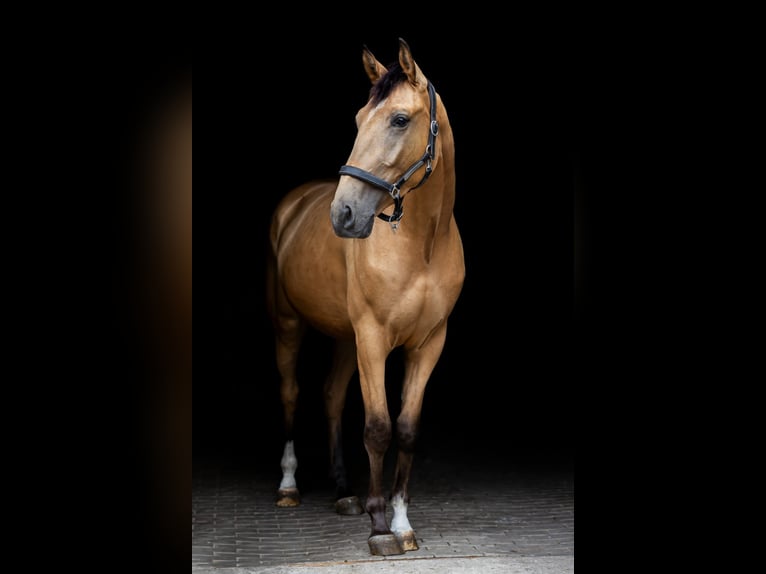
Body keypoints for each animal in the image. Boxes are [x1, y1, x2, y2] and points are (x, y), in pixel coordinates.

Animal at [268, 37, 464, 560]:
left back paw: (342, 490)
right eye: (358, 119)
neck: (421, 246)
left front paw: (400, 522)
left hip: (342, 338)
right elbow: (377, 426)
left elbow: (407, 428)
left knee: (332, 396)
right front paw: (379, 529)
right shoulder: (373, 339)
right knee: (292, 394)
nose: (344, 214)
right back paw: (289, 486)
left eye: (398, 119)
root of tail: (294, 205)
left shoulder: (429, 344)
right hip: (290, 326)